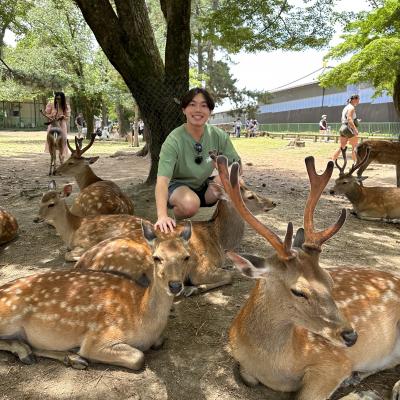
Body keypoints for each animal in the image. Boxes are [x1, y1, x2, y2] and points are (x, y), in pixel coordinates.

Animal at [0, 220, 191, 370]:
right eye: (156, 257)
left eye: (186, 257)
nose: (175, 285)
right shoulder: (99, 337)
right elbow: (139, 357)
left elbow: (160, 341)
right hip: (8, 314)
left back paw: (70, 357)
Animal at [74, 161, 276, 296]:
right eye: (250, 197)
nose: (273, 202)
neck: (219, 241)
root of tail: (82, 265)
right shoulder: (201, 268)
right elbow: (229, 276)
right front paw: (195, 288)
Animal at [216, 155, 400, 400]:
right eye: (298, 291)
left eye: (329, 279)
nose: (351, 336)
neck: (274, 366)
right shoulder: (242, 364)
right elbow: (247, 377)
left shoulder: (334, 361)